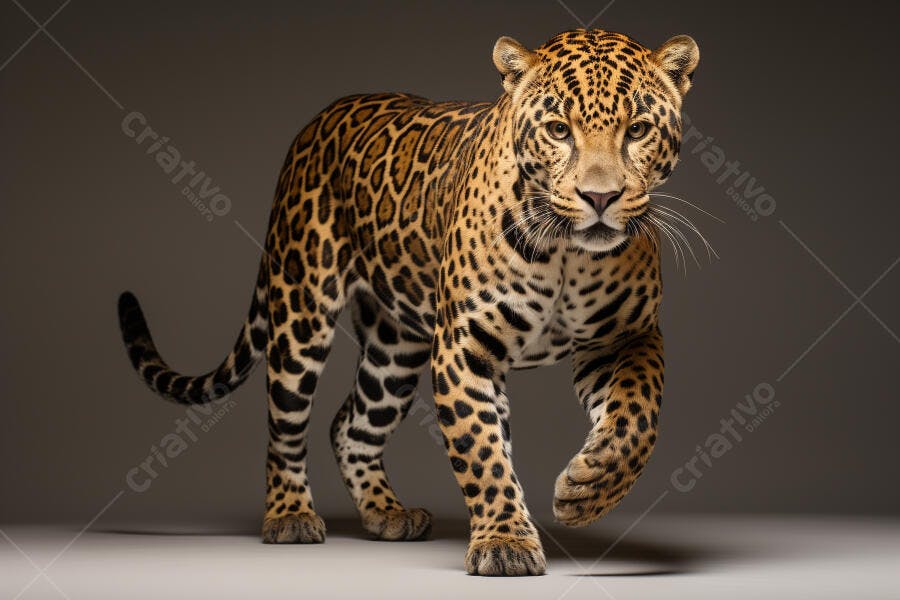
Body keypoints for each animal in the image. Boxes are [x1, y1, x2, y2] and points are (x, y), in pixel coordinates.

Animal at [117, 28, 699, 576]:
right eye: (559, 130)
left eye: (638, 130)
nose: (600, 198)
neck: (567, 254)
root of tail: (321, 118)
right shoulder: (466, 349)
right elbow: (483, 451)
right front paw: (505, 543)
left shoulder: (626, 337)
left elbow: (638, 414)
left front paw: (590, 485)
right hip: (300, 313)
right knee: (285, 425)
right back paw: (289, 515)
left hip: (395, 347)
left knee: (350, 426)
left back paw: (386, 512)